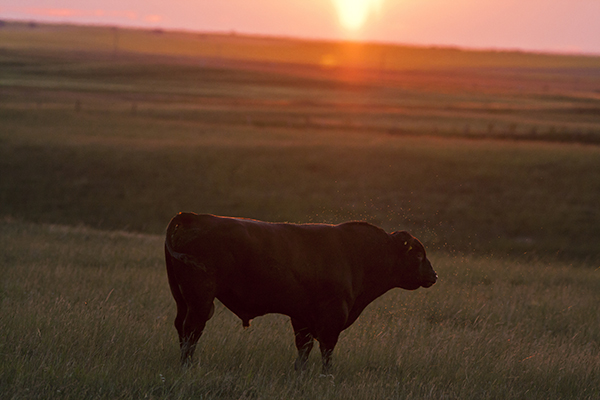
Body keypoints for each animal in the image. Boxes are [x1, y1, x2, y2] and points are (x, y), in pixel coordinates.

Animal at [164, 212, 436, 372]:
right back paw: (188, 366)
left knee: (181, 327)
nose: (434, 275)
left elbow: (304, 347)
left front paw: (300, 371)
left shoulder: (302, 317)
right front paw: (326, 375)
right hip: (200, 300)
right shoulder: (332, 316)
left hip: (182, 299)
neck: (357, 254)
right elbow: (326, 347)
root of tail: (191, 217)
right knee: (192, 329)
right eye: (418, 254)